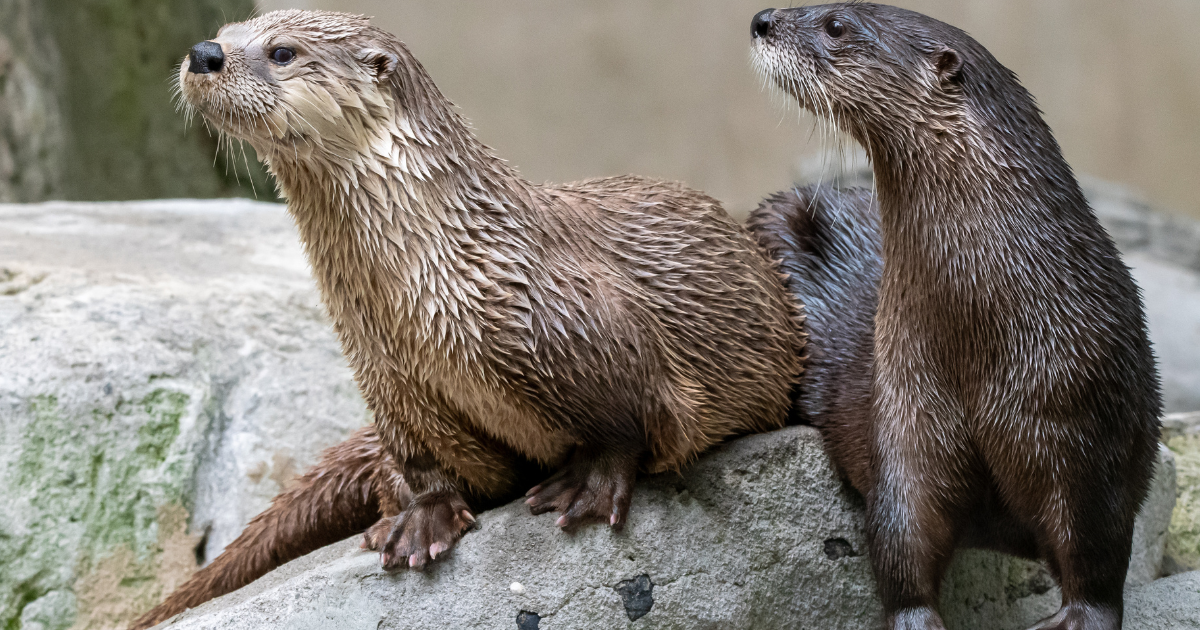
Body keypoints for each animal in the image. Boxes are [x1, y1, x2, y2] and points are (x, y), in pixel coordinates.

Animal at [133, 9, 808, 626]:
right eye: (226, 28)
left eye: (281, 51)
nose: (205, 52)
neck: (440, 274)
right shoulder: (391, 379)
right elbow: (425, 461)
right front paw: (420, 519)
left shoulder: (594, 330)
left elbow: (633, 419)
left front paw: (586, 485)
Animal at [751, 4, 1162, 630]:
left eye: (836, 25)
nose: (761, 19)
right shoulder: (903, 417)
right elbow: (899, 539)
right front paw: (916, 619)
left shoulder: (1088, 430)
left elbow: (1097, 546)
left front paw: (1077, 617)